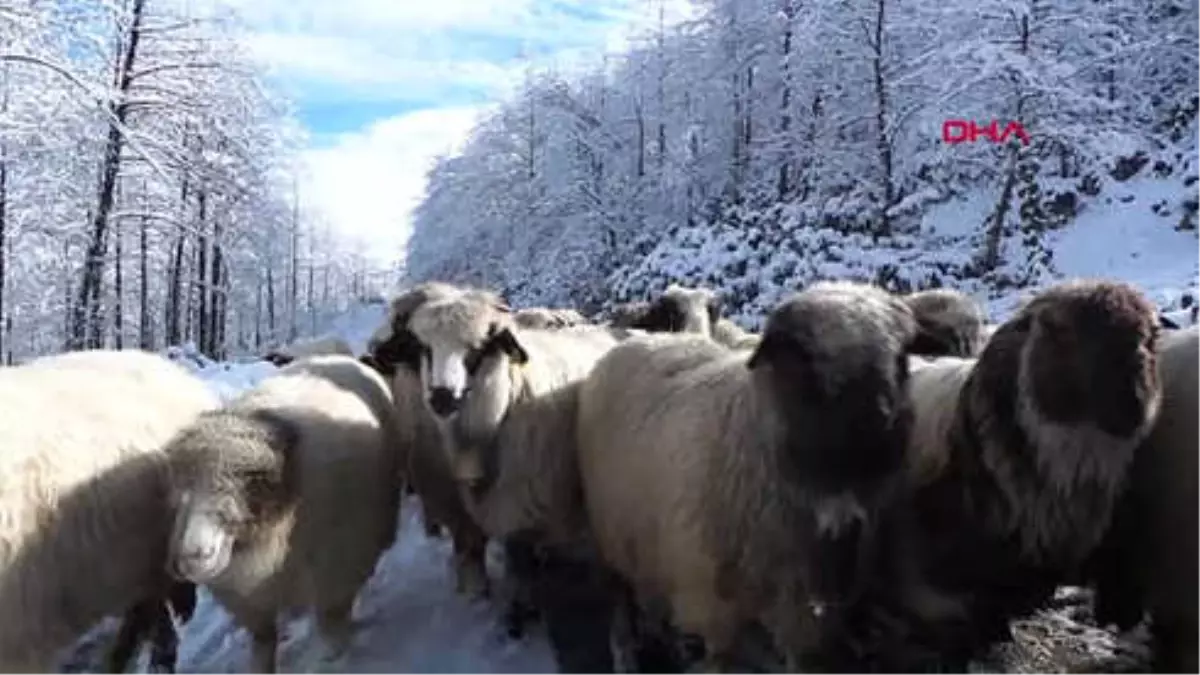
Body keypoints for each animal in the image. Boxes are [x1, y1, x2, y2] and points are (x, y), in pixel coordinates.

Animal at [164, 353, 400, 672]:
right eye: (180, 496)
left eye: (249, 484)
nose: (192, 556)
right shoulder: (250, 600)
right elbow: (263, 642)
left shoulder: (336, 568)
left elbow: (330, 622)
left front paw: (334, 657)